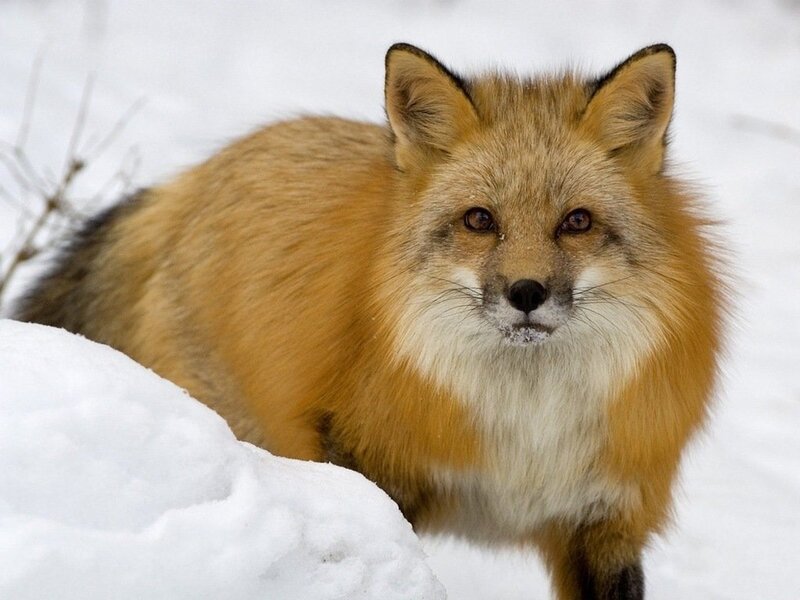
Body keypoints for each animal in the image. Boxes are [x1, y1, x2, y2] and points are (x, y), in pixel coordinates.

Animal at [14, 43, 724, 599]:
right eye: (479, 220)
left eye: (577, 222)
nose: (526, 292)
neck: (526, 429)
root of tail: (193, 179)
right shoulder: (370, 464)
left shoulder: (604, 520)